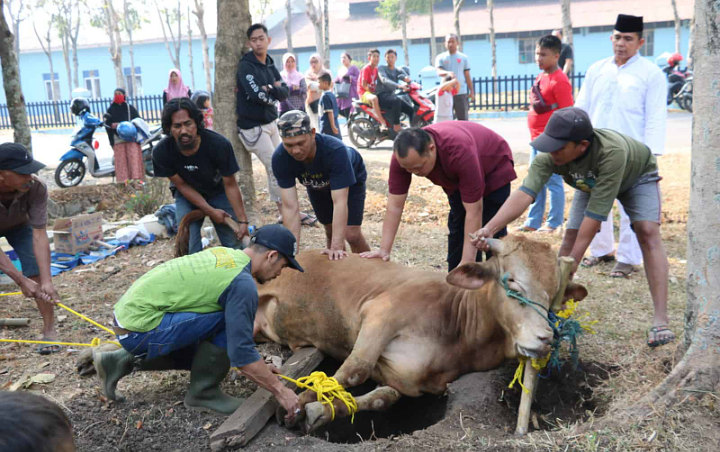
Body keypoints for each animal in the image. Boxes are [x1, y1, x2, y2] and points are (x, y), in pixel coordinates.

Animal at [256, 235, 588, 432]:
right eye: (513, 282)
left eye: (554, 296)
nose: (546, 338)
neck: (459, 334)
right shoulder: (381, 311)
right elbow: (354, 371)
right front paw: (297, 405)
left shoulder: (412, 383)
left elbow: (385, 396)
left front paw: (320, 410)